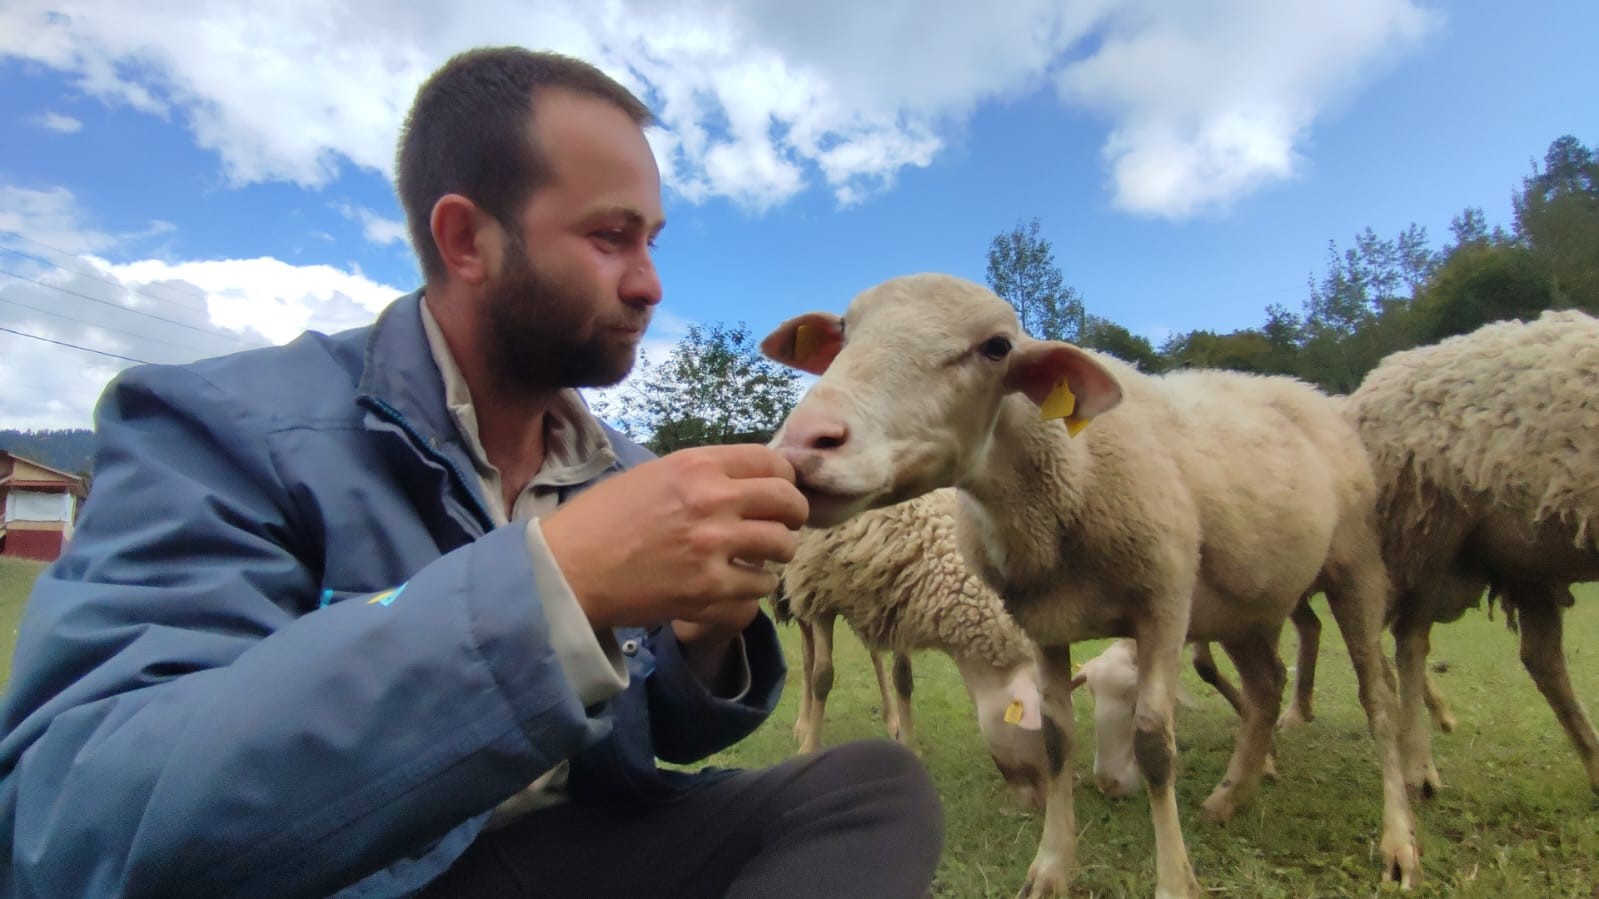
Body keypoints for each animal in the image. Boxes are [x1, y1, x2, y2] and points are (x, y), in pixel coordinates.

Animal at [770, 486, 1048, 809]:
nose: (1042, 802)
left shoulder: (897, 599)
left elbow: (902, 678)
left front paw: (908, 743)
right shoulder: (820, 590)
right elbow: (822, 677)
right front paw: (810, 748)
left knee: (874, 655)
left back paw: (891, 718)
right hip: (796, 589)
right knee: (808, 657)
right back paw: (803, 723)